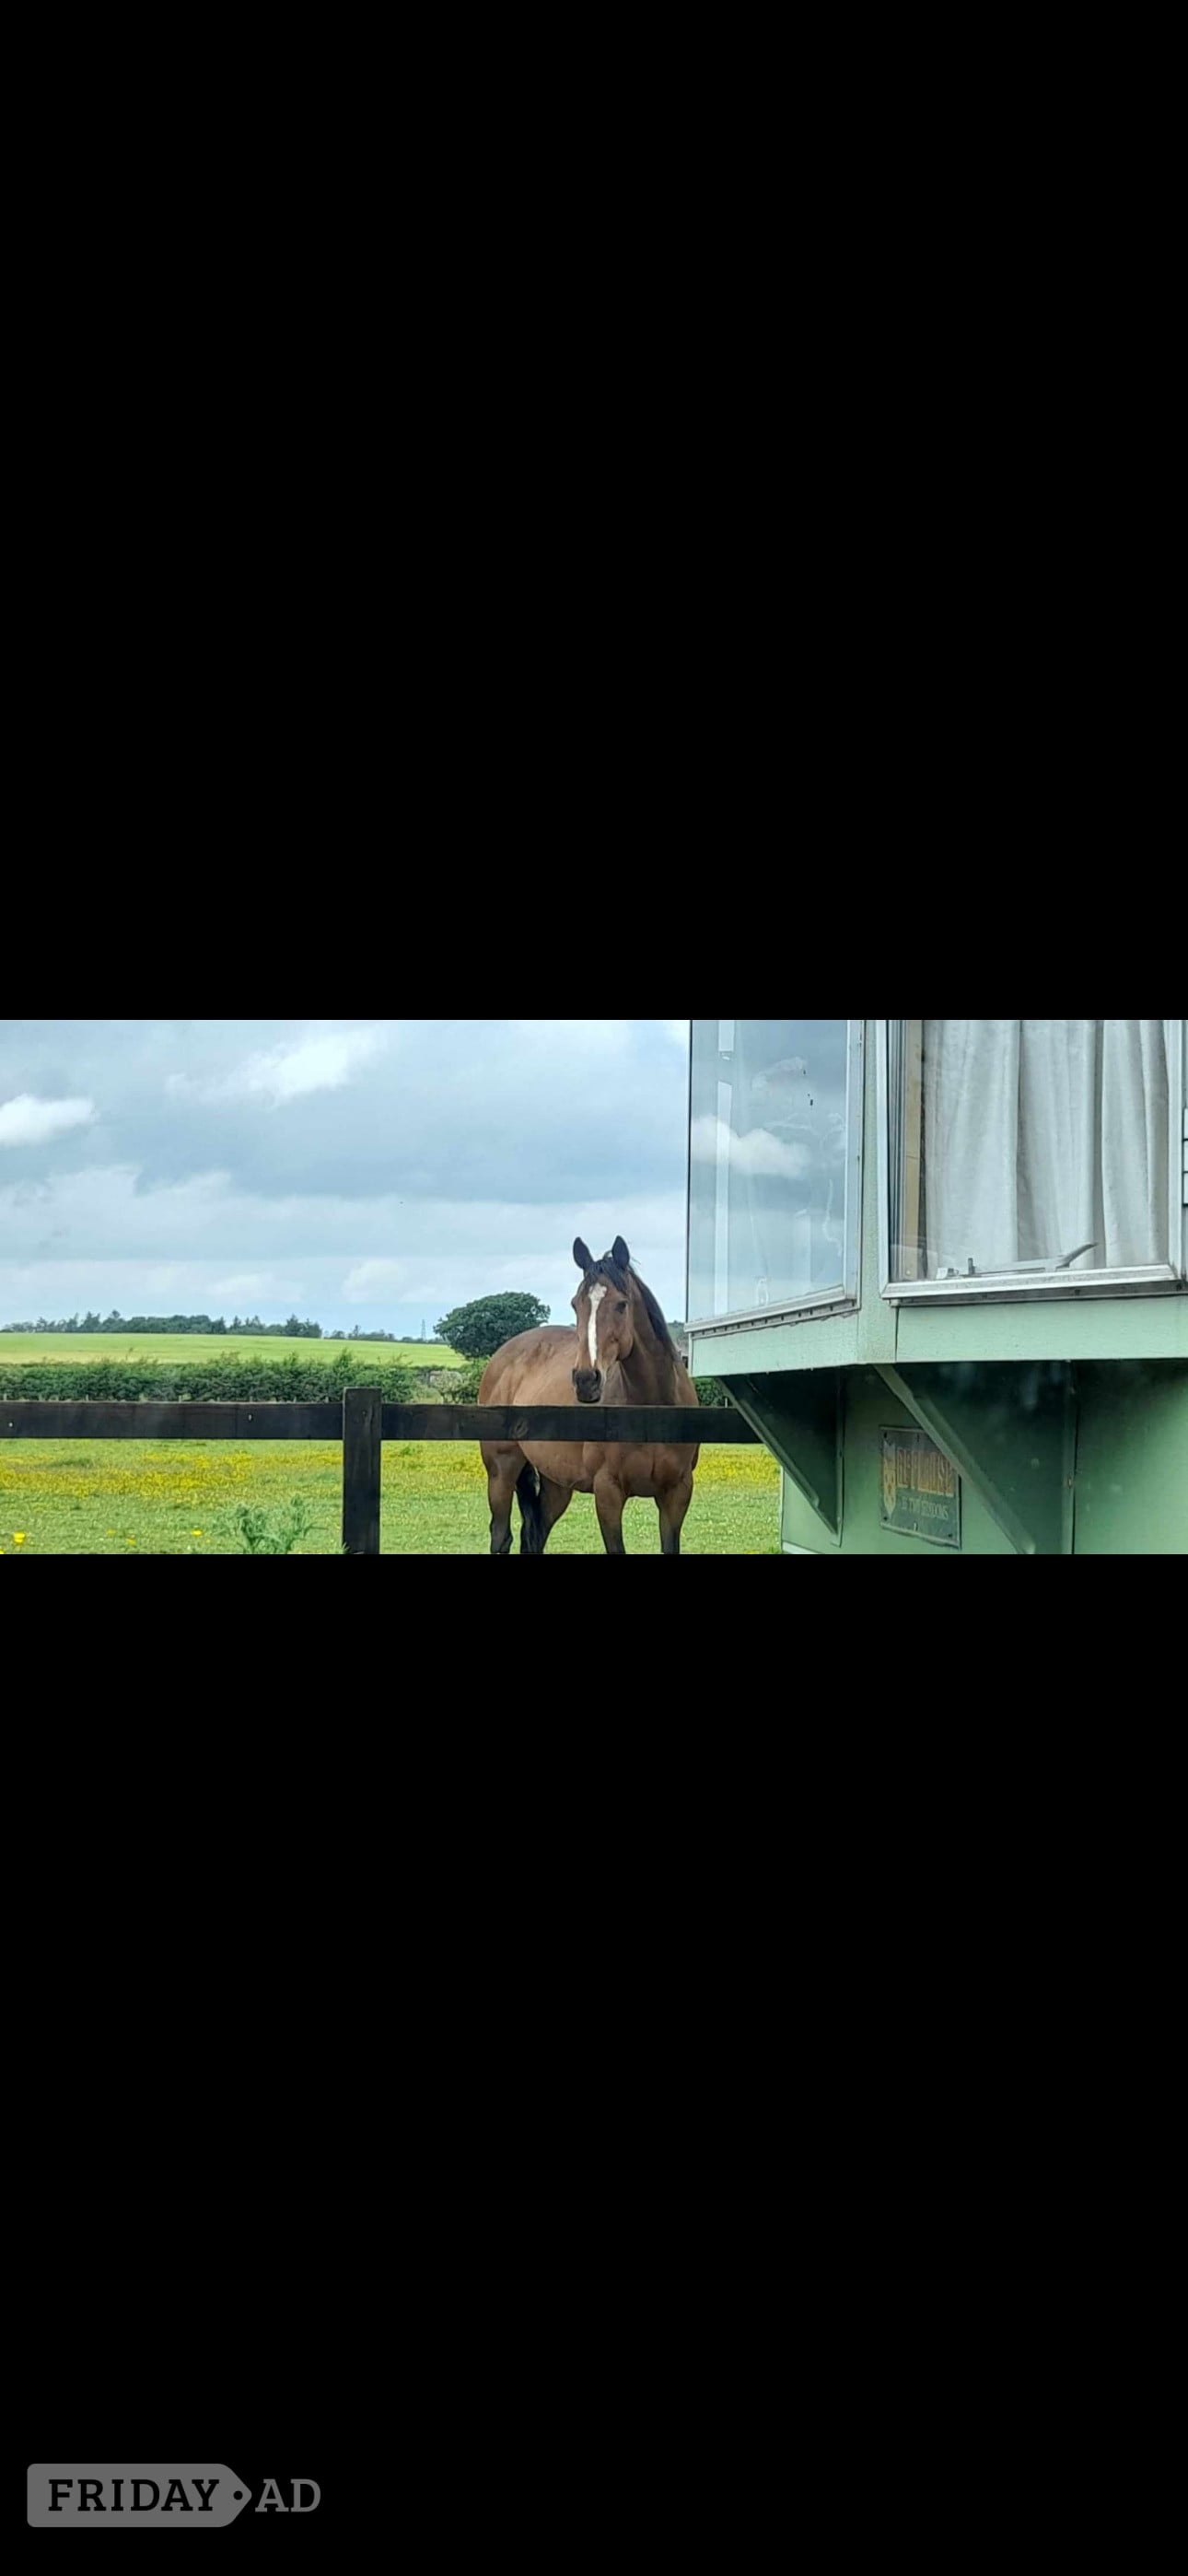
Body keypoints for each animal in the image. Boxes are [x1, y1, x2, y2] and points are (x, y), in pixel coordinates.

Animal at [479, 1234, 701, 1555]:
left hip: (556, 1484)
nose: (586, 1380)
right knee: (500, 1536)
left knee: (535, 1534)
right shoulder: (607, 1493)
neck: (651, 1410)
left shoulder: (677, 1493)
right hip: (501, 1471)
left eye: (621, 1304)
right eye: (576, 1304)